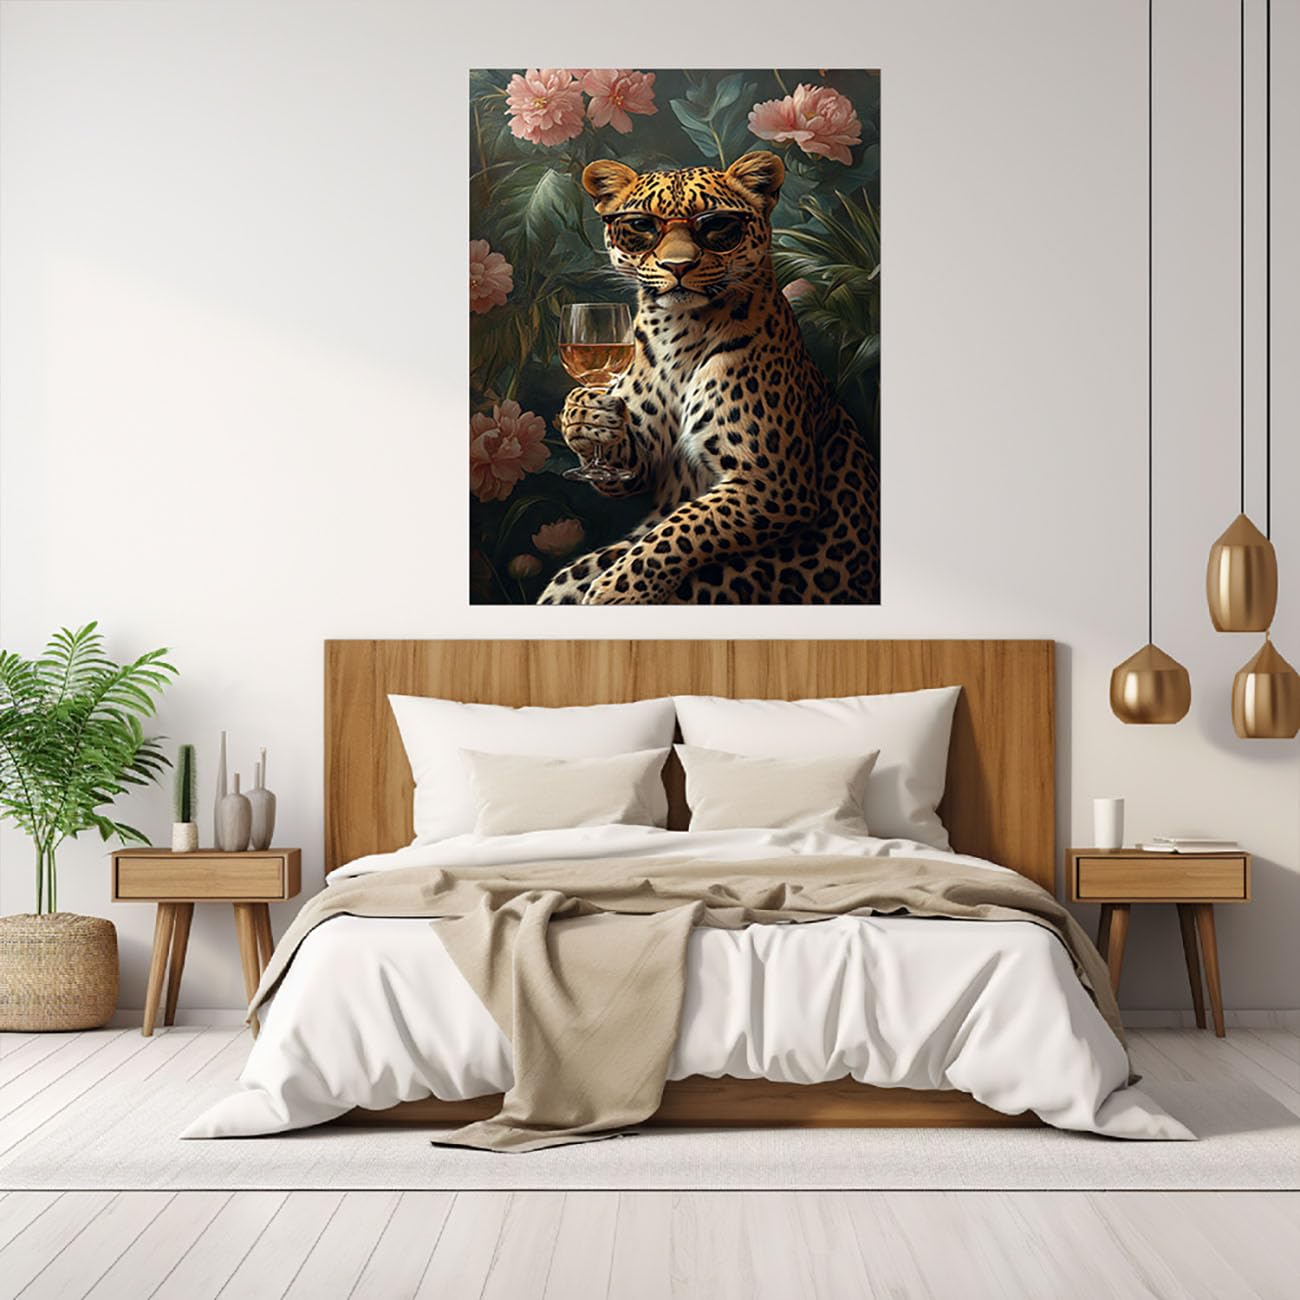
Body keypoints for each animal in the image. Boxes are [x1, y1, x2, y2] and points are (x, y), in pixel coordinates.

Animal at [537, 149, 880, 606]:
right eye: (642, 225)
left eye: (716, 225)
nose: (677, 266)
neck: (677, 330)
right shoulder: (646, 456)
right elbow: (629, 466)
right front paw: (584, 415)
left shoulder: (773, 482)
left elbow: (678, 531)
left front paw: (615, 593)